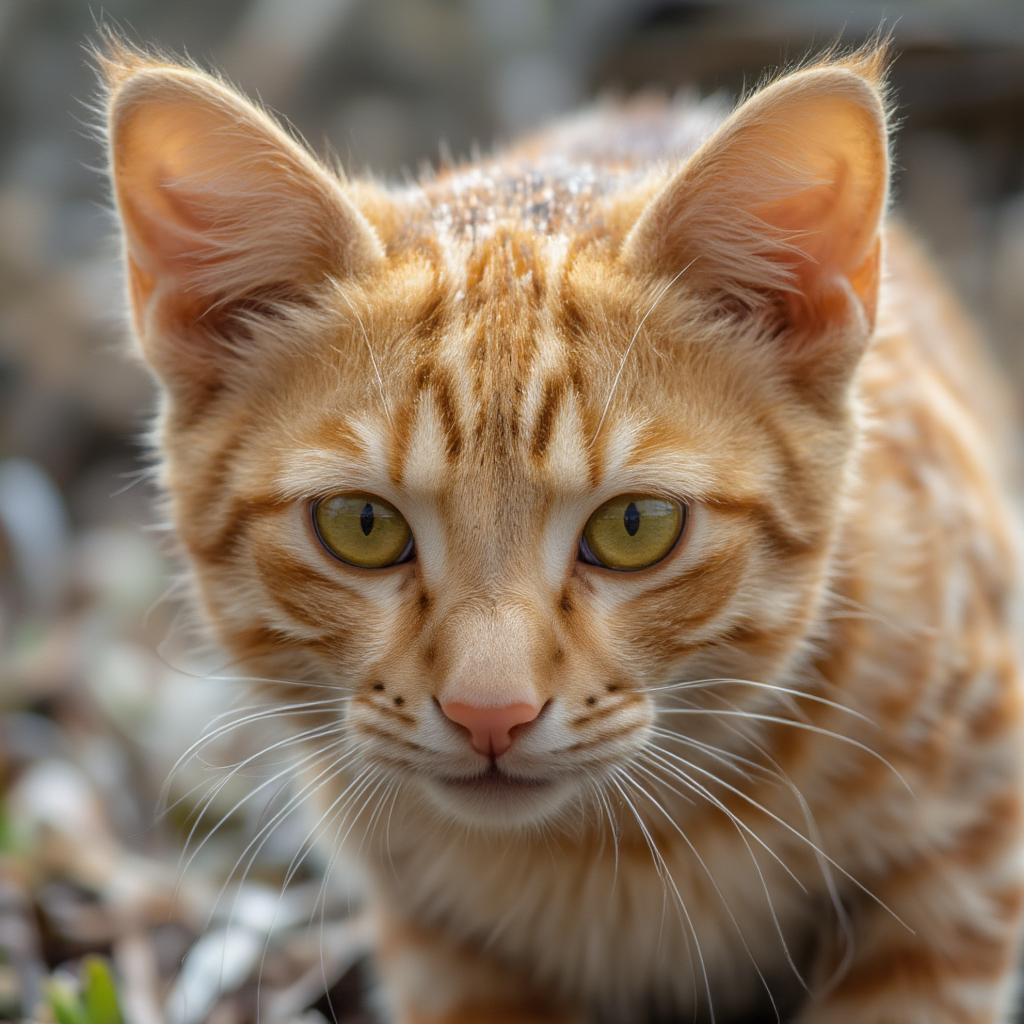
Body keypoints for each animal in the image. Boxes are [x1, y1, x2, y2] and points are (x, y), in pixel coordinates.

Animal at [101, 37, 1024, 1024]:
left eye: (635, 526)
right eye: (361, 525)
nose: (489, 713)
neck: (598, 859)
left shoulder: (965, 848)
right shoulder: (440, 944)